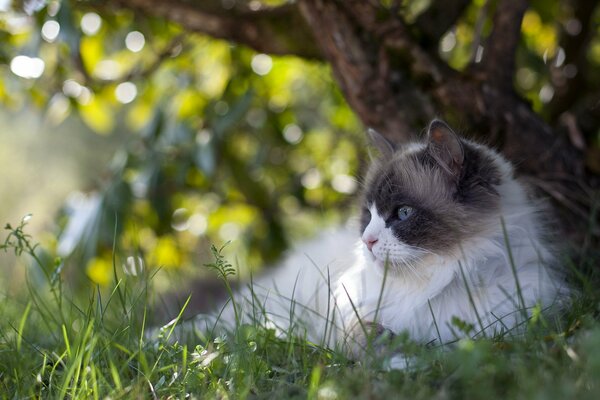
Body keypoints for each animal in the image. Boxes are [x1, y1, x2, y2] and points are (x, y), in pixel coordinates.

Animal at [189, 118, 568, 356]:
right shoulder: (351, 320)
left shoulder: (506, 329)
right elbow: (369, 339)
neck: (439, 280)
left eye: (402, 213)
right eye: (368, 214)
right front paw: (396, 355)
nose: (367, 242)